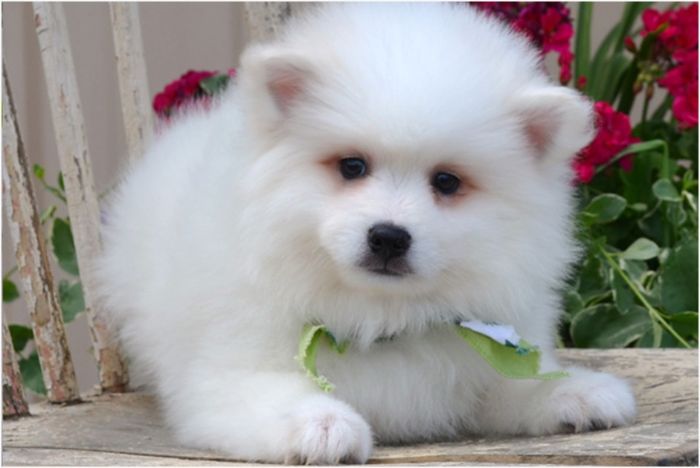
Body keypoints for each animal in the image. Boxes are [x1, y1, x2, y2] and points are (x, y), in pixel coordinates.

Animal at [95, 3, 636, 464]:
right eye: (352, 166)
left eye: (446, 182)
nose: (389, 237)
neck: (379, 316)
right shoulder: (228, 374)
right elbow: (273, 394)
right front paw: (323, 425)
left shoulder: (481, 360)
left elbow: (514, 384)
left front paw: (577, 390)